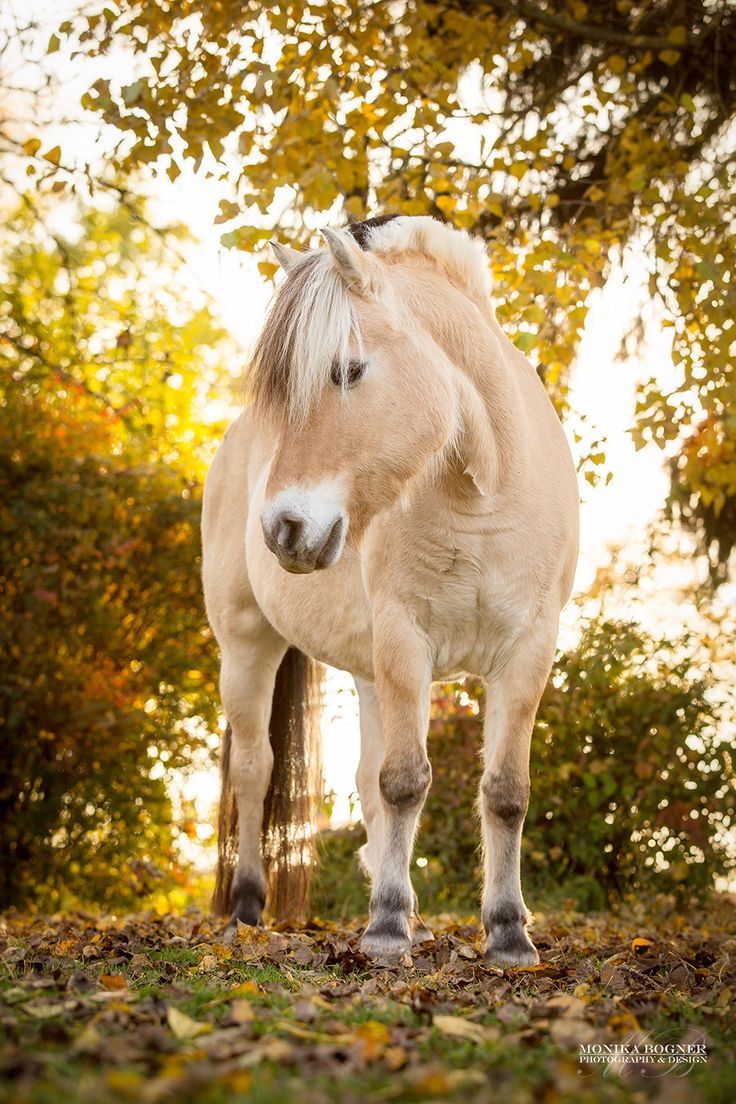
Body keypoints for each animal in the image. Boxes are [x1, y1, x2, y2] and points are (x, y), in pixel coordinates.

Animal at [202, 214, 579, 966]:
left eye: (349, 370)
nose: (283, 529)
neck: (482, 491)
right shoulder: (408, 639)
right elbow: (405, 781)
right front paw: (384, 928)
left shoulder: (528, 650)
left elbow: (504, 793)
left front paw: (508, 933)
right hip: (248, 644)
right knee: (257, 770)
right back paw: (248, 908)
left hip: (370, 671)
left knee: (361, 783)